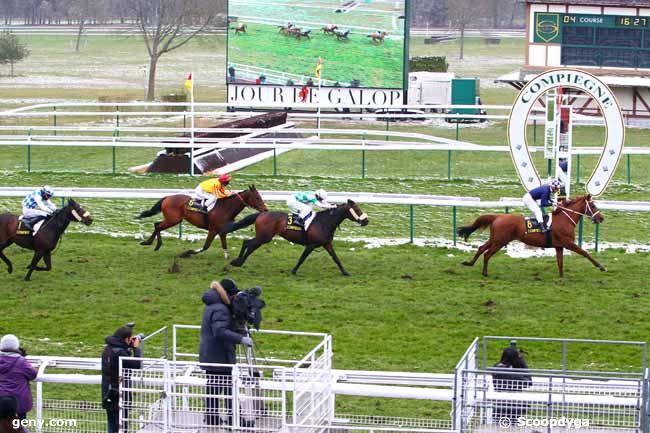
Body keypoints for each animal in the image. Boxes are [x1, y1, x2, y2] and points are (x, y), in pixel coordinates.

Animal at [135, 184, 268, 258]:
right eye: (257, 197)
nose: (265, 209)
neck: (225, 208)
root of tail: (167, 197)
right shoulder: (213, 230)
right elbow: (206, 246)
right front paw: (187, 253)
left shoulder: (222, 230)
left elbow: (224, 244)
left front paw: (227, 257)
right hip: (173, 219)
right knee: (158, 225)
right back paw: (155, 244)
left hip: (172, 219)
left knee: (157, 224)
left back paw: (148, 242)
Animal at [219, 200, 368, 276]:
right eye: (357, 209)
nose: (366, 221)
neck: (324, 222)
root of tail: (261, 214)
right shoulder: (311, 245)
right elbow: (302, 258)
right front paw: (294, 271)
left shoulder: (327, 244)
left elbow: (336, 259)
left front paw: (345, 272)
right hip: (264, 237)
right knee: (248, 243)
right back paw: (237, 261)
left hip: (264, 237)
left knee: (250, 245)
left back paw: (239, 261)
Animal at [456, 195, 604, 278]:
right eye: (592, 205)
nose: (601, 218)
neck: (564, 219)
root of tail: (498, 216)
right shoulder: (568, 243)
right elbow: (585, 253)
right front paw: (601, 266)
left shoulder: (559, 246)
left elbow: (560, 262)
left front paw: (561, 278)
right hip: (499, 241)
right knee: (487, 254)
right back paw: (485, 273)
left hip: (495, 239)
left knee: (481, 248)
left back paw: (469, 263)